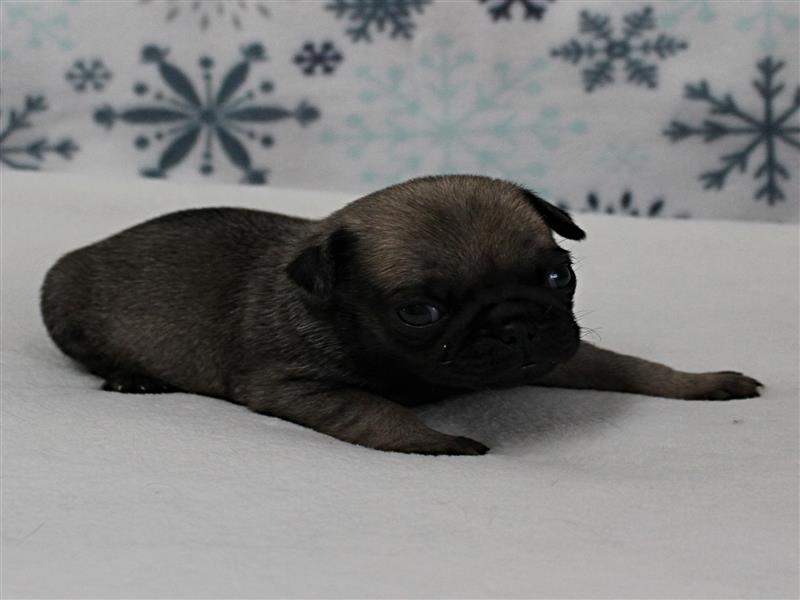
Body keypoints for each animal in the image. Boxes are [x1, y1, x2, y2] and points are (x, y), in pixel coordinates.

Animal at [40, 175, 762, 454]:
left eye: (560, 275)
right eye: (419, 311)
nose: (515, 322)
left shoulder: (561, 350)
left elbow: (632, 366)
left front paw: (701, 383)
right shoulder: (299, 386)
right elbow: (379, 413)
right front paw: (441, 441)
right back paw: (132, 378)